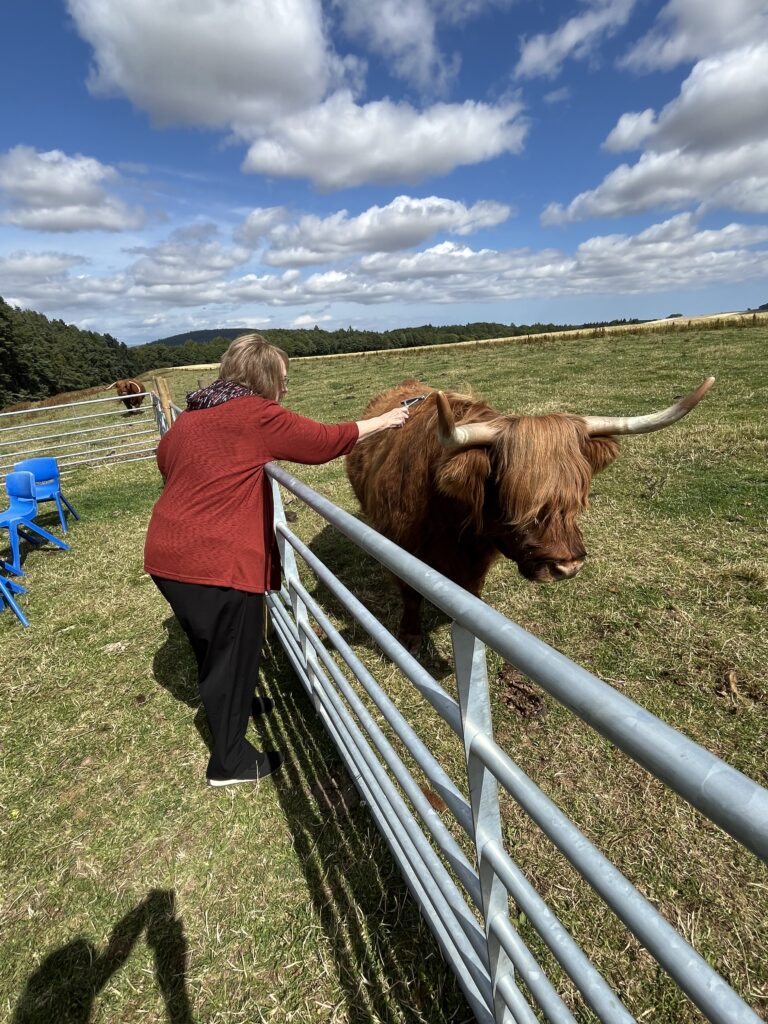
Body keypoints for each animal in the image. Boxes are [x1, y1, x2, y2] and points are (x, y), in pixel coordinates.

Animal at [345, 376, 714, 651]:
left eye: (575, 500)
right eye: (516, 502)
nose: (567, 567)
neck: (445, 512)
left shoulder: (477, 559)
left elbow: (470, 592)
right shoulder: (398, 550)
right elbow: (410, 596)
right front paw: (409, 636)